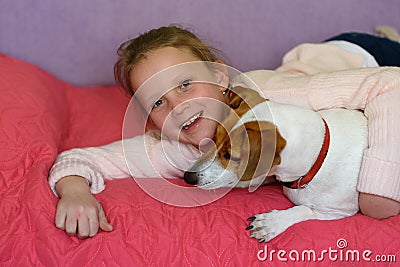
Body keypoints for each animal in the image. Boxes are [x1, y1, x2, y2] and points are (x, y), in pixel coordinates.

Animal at [183, 87, 368, 243]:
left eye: (230, 156)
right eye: (215, 137)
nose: (187, 177)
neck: (318, 157)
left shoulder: (337, 211)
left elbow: (302, 209)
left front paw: (271, 223)